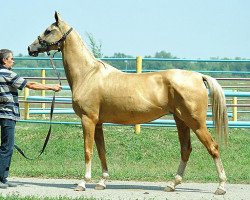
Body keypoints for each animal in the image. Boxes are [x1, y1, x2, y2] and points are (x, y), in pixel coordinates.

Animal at [27, 11, 229, 195]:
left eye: (48, 30)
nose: (30, 48)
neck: (88, 74)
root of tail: (199, 76)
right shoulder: (98, 123)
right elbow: (101, 151)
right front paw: (102, 182)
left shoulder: (88, 120)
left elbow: (88, 150)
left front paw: (83, 183)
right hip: (181, 121)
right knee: (186, 150)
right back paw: (172, 184)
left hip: (196, 123)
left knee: (213, 148)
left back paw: (220, 186)